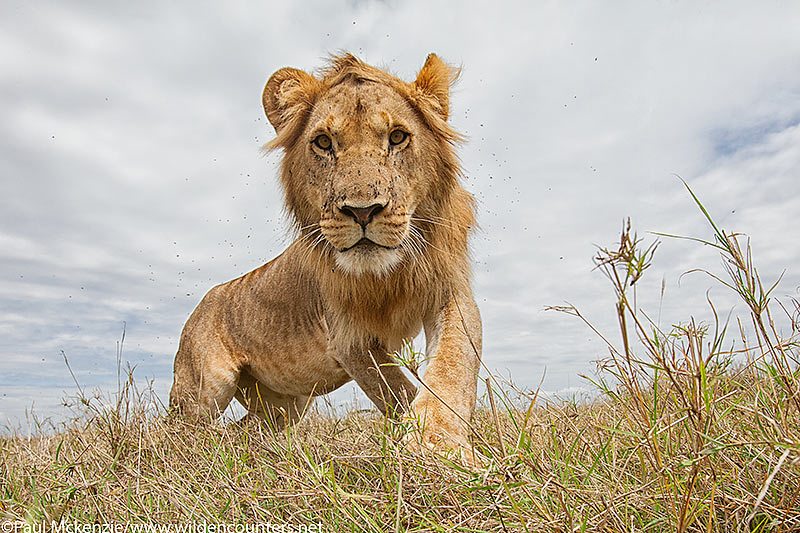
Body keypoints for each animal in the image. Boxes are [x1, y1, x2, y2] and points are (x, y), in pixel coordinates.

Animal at [169, 53, 482, 458]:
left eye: (397, 137)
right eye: (323, 142)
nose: (362, 211)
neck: (387, 274)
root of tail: (202, 302)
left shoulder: (450, 294)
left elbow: (452, 365)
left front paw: (439, 445)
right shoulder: (349, 339)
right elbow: (398, 391)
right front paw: (432, 451)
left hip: (286, 404)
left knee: (247, 430)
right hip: (204, 387)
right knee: (177, 430)